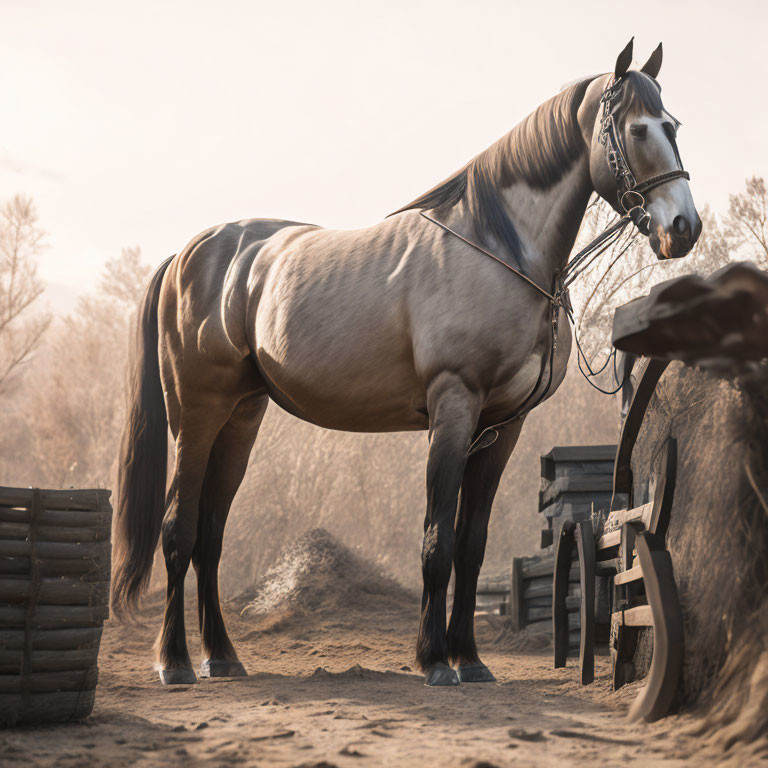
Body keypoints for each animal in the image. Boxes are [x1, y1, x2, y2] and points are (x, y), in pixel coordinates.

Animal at [109, 39, 704, 688]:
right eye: (639, 129)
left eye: (673, 126)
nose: (683, 227)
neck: (496, 247)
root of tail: (191, 253)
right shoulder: (454, 408)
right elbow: (436, 541)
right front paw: (435, 661)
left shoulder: (502, 426)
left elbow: (470, 544)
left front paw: (469, 660)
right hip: (197, 413)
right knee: (178, 530)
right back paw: (174, 662)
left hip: (241, 416)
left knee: (210, 537)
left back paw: (222, 656)